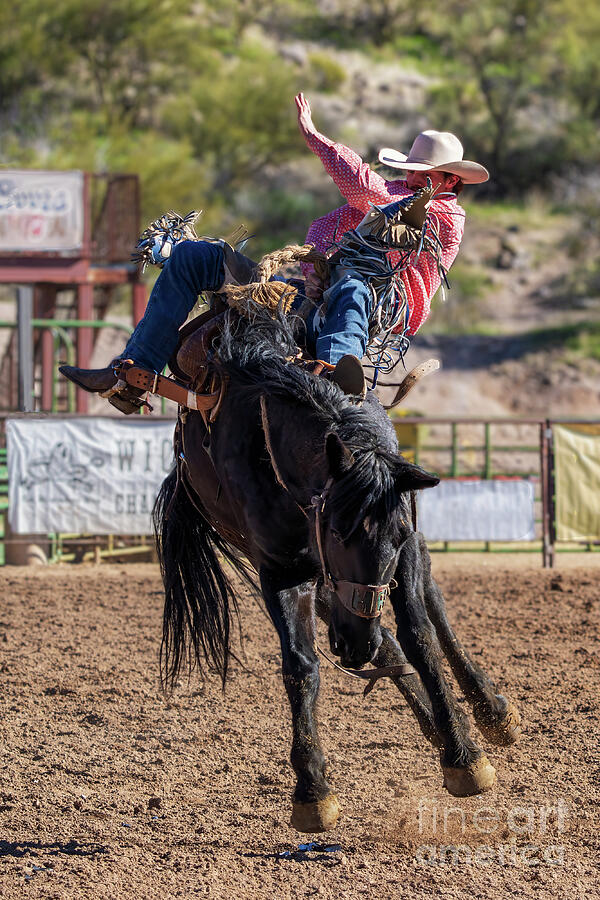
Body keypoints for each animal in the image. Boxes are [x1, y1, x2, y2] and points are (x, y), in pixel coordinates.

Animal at [155, 312, 520, 832]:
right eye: (335, 528)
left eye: (397, 533)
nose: (353, 644)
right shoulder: (281, 568)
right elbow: (301, 666)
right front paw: (312, 791)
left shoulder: (404, 550)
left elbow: (420, 634)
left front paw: (465, 756)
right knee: (372, 637)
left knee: (426, 610)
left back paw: (488, 710)